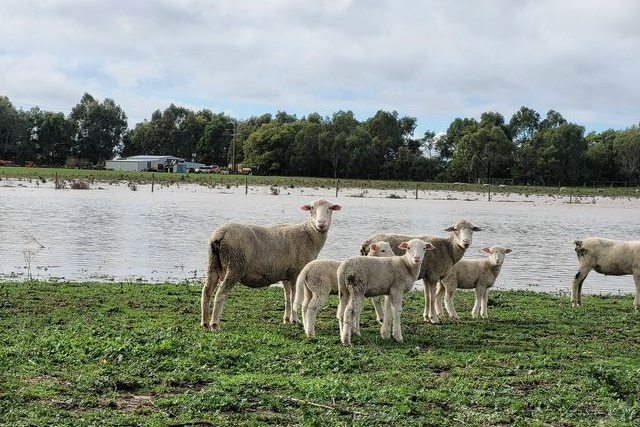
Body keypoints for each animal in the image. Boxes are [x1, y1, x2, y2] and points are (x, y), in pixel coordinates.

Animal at [201, 198, 342, 332]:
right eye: (312, 208)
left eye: (330, 208)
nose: (321, 223)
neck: (309, 235)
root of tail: (219, 235)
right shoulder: (296, 273)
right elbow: (295, 297)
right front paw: (295, 320)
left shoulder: (286, 274)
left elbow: (287, 297)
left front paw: (286, 319)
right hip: (235, 266)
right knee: (220, 294)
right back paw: (215, 324)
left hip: (212, 264)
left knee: (206, 292)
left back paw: (205, 323)